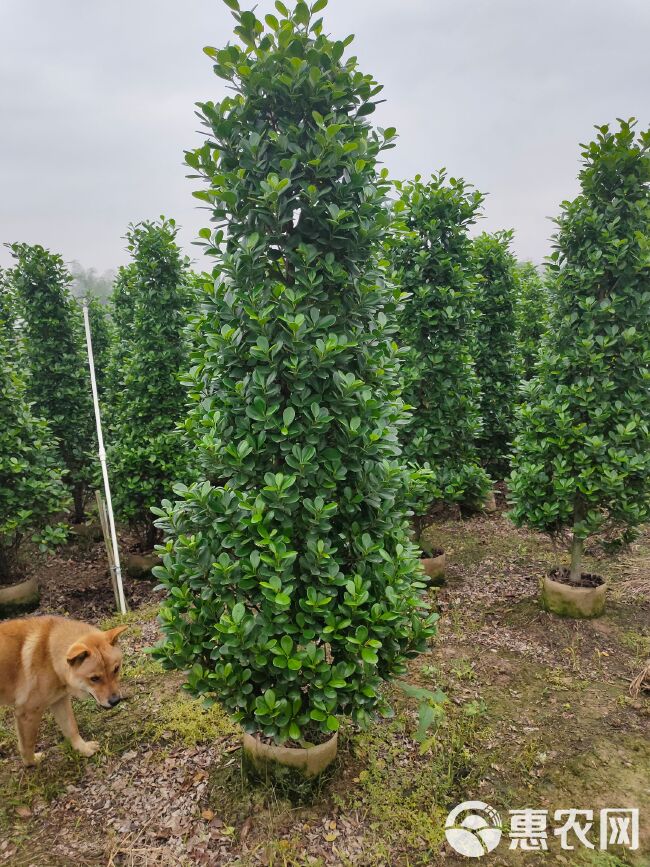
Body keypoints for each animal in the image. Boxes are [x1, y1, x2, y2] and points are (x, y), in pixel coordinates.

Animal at [0, 616, 126, 768]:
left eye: (116, 669)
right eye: (94, 678)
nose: (116, 701)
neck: (49, 654)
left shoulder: (60, 701)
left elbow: (71, 727)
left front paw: (83, 748)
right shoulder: (27, 712)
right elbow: (28, 744)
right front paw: (31, 762)